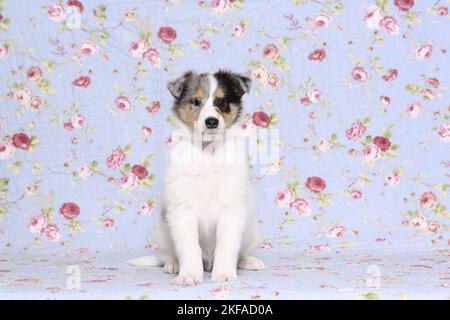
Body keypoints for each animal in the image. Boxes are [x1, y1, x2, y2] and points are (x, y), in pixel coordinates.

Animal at [127, 69, 264, 284]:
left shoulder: (231, 209)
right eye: (196, 101)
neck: (207, 152)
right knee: (169, 254)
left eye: (222, 101)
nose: (211, 122)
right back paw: (173, 264)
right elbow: (189, 247)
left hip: (251, 229)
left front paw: (224, 274)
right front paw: (189, 275)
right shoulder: (183, 210)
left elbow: (226, 246)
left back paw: (248, 261)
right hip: (163, 231)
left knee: (241, 251)